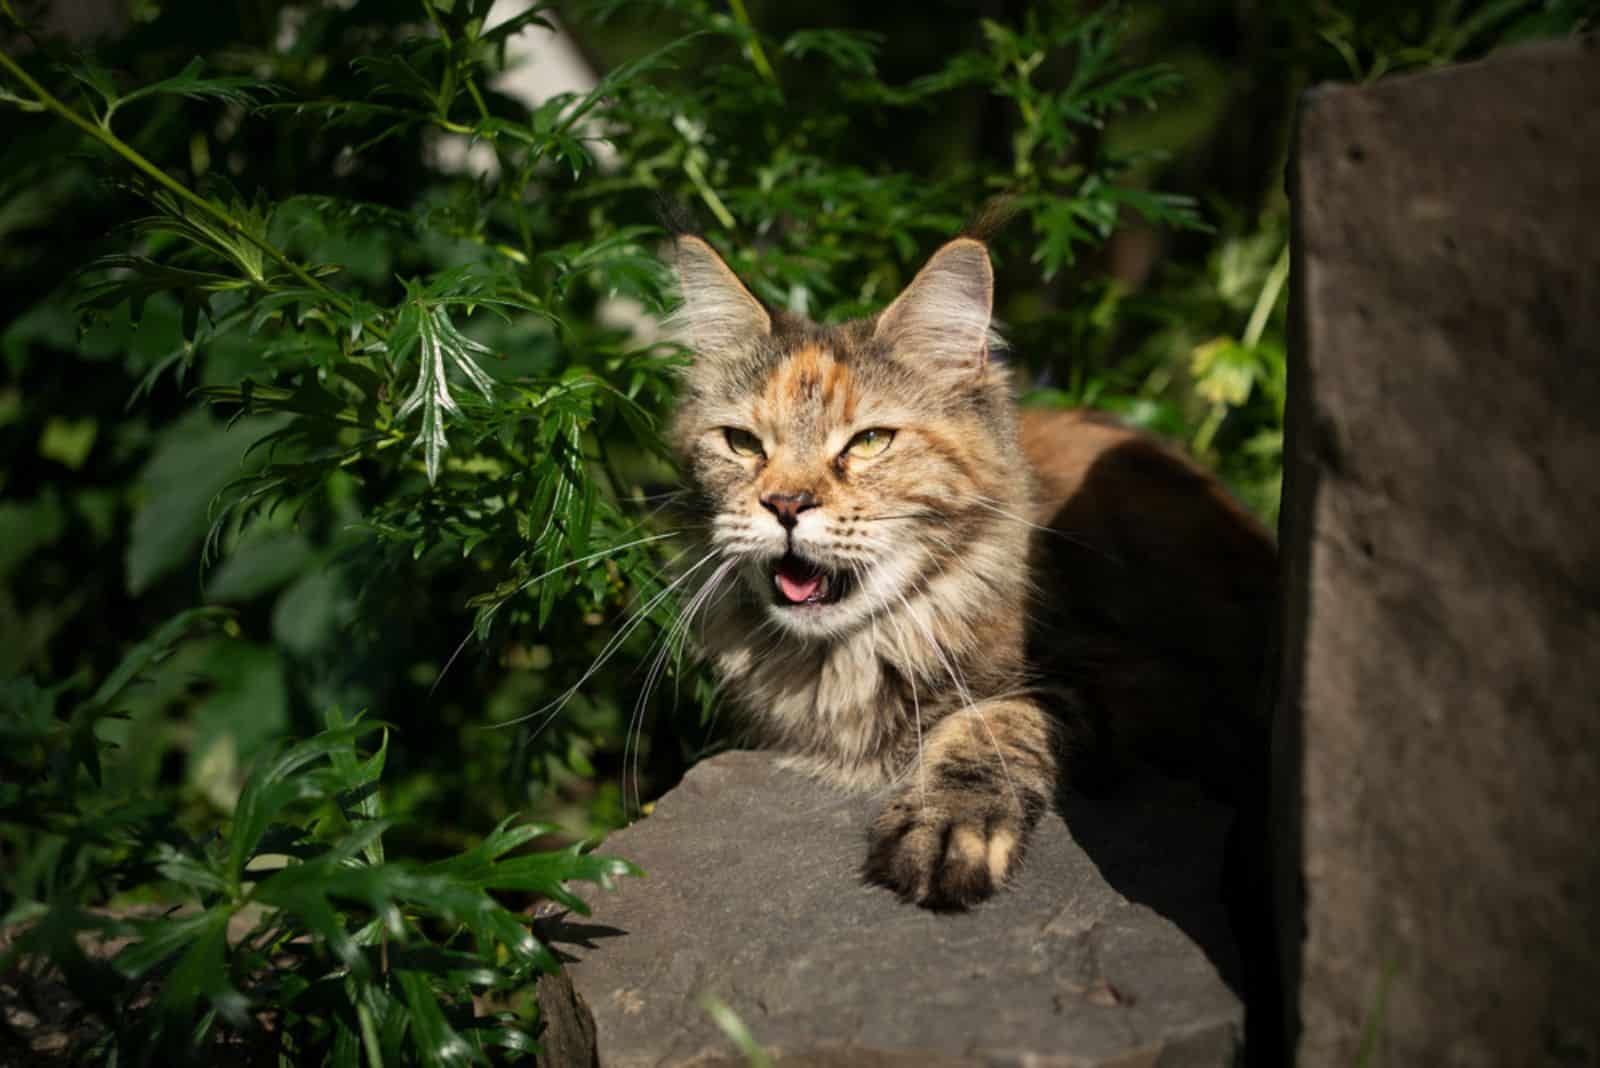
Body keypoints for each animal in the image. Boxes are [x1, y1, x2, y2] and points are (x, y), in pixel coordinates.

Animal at [662, 233, 1273, 908]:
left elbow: (991, 722)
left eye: (869, 441)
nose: (786, 505)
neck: (848, 658)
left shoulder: (1138, 686)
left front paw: (947, 827)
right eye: (743, 443)